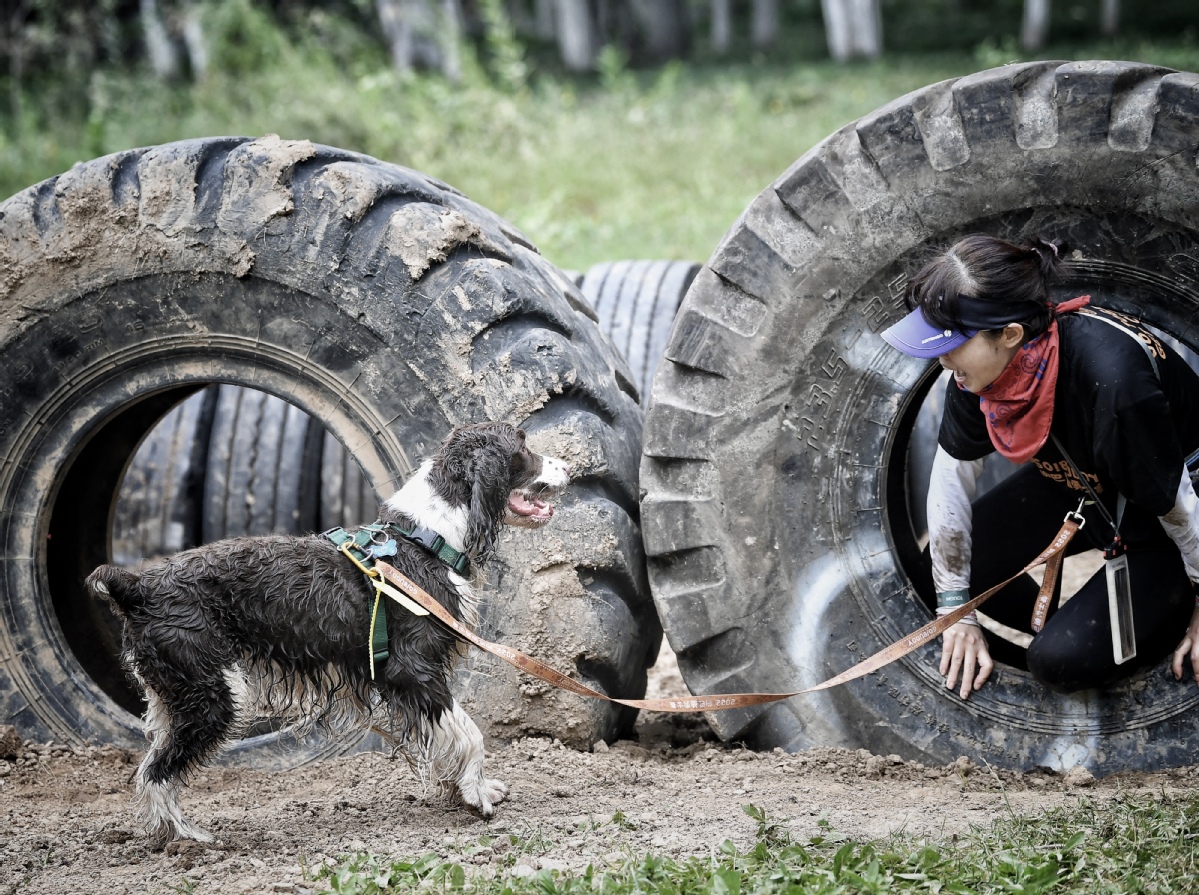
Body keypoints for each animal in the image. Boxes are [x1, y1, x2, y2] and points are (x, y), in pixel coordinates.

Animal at [85, 422, 570, 849]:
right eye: (522, 447)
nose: (569, 465)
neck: (426, 538)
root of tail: (138, 585)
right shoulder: (411, 670)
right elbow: (470, 732)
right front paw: (478, 795)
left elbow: (446, 737)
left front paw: (463, 789)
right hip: (212, 697)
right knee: (157, 772)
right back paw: (188, 839)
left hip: (173, 697)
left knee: (150, 764)